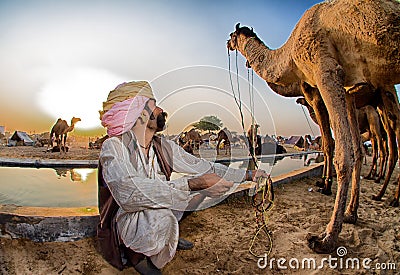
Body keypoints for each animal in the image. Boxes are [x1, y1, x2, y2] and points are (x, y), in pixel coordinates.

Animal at [228, 0, 400, 254]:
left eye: (232, 35)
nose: (227, 43)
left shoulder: (324, 73)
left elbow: (338, 150)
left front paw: (326, 236)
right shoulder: (346, 90)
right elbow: (352, 150)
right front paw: (348, 212)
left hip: (383, 100)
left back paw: (385, 196)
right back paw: (375, 196)